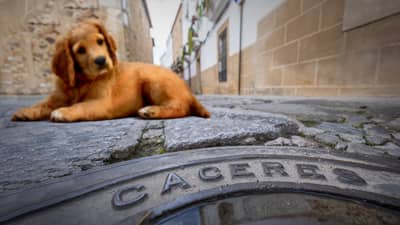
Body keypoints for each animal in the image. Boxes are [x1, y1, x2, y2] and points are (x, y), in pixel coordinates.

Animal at [11, 18, 211, 121]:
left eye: (100, 41)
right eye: (80, 50)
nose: (101, 60)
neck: (82, 81)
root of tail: (188, 91)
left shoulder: (102, 102)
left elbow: (81, 106)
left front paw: (64, 112)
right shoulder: (58, 96)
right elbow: (43, 104)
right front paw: (26, 111)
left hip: (153, 80)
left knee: (181, 108)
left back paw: (152, 111)